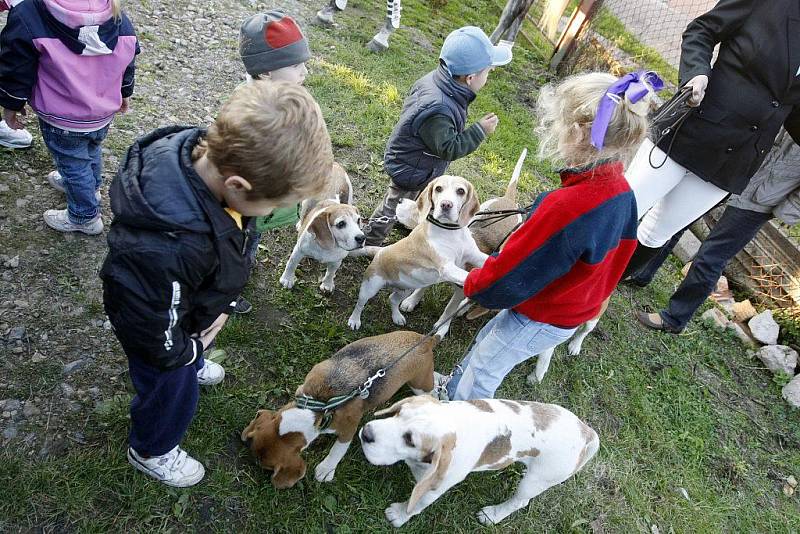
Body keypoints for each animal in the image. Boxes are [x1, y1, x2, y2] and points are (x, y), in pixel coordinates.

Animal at [241, 332, 438, 492]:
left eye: (267, 468)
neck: (318, 405)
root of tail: (427, 340)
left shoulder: (349, 429)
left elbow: (338, 450)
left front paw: (325, 470)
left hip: (420, 385)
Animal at [282, 165, 368, 296]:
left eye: (358, 221)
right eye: (341, 224)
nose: (361, 238)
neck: (326, 247)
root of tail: (334, 163)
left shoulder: (337, 260)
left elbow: (331, 273)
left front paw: (327, 284)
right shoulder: (299, 250)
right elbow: (291, 264)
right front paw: (287, 279)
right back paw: (300, 224)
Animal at [346, 177, 484, 330]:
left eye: (461, 191)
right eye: (438, 188)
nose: (446, 205)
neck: (452, 233)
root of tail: (381, 250)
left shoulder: (475, 255)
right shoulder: (447, 267)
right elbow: (468, 275)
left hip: (405, 288)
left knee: (392, 299)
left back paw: (397, 317)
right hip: (370, 287)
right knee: (360, 304)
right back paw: (354, 320)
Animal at [360, 398, 596, 528]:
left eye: (410, 440)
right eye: (399, 412)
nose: (366, 433)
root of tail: (587, 432)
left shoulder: (432, 489)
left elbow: (415, 505)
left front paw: (399, 515)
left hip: (536, 480)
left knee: (519, 502)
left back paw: (492, 515)